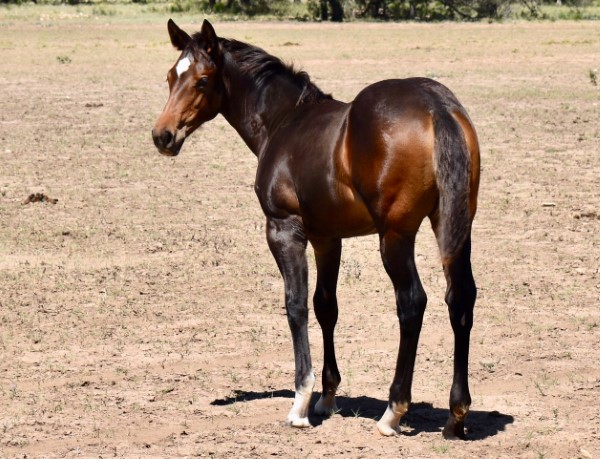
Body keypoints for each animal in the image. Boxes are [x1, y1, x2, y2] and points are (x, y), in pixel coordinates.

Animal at [152, 19, 480, 440]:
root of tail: (436, 106)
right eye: (170, 76)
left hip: (395, 236)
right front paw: (327, 396)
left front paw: (301, 402)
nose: (163, 136)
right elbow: (326, 306)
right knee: (461, 298)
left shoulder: (284, 230)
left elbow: (296, 305)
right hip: (455, 226)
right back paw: (456, 415)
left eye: (203, 80)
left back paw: (393, 411)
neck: (284, 121)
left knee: (412, 303)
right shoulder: (328, 238)